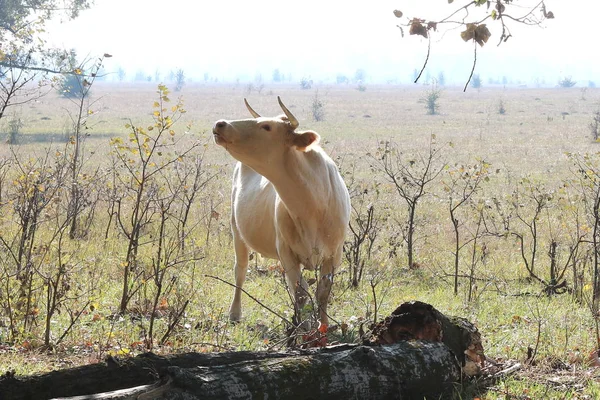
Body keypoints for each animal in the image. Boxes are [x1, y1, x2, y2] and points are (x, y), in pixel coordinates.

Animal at [212, 97, 350, 328]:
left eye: (267, 126)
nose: (220, 124)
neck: (312, 206)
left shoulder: (334, 253)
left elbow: (322, 292)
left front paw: (323, 326)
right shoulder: (286, 253)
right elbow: (301, 293)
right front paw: (303, 328)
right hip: (236, 229)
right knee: (240, 270)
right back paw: (234, 313)